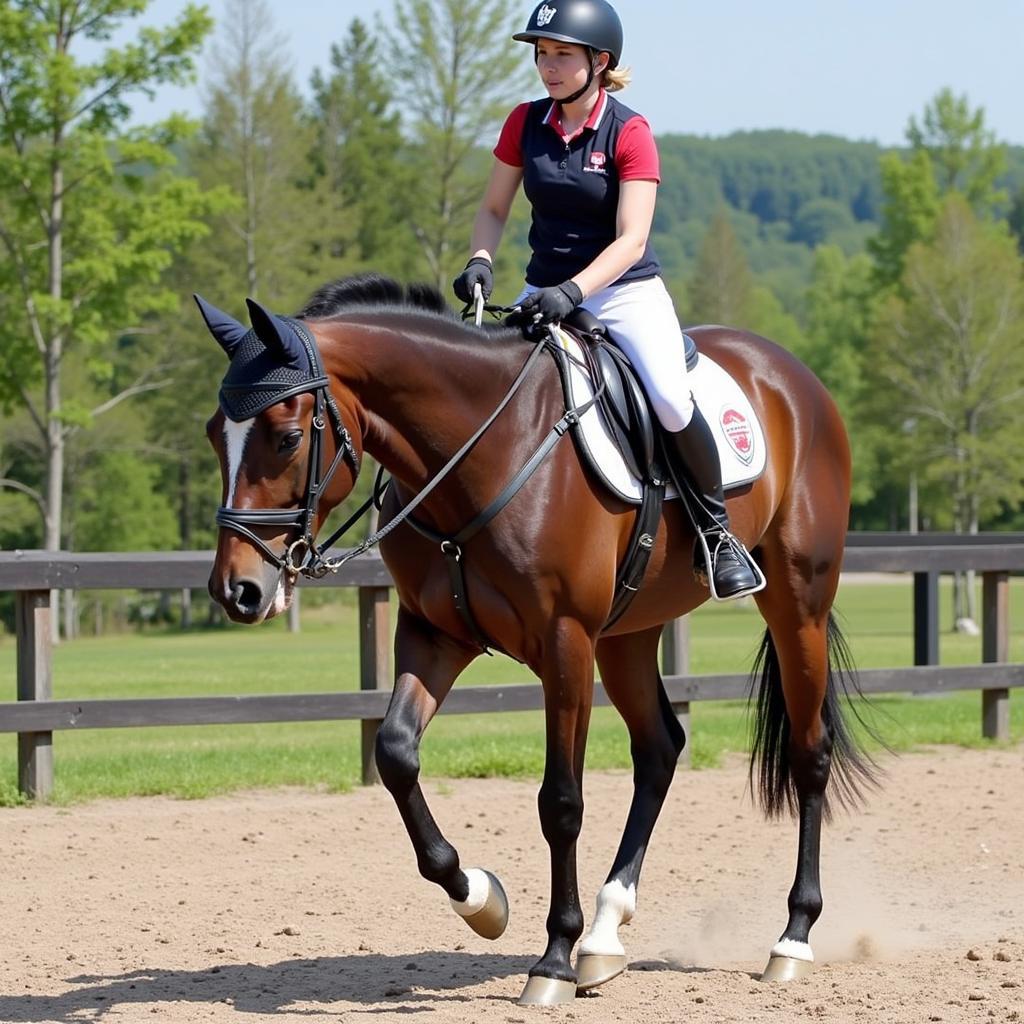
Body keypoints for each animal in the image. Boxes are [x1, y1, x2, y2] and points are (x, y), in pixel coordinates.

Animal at [197, 274, 872, 1007]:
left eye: (287, 437)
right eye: (215, 435)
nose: (238, 591)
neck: (481, 450)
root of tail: (791, 374)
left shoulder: (564, 642)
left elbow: (561, 802)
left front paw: (551, 960)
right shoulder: (434, 634)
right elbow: (396, 753)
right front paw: (480, 900)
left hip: (796, 605)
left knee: (809, 752)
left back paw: (791, 939)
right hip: (629, 633)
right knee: (660, 748)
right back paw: (604, 936)